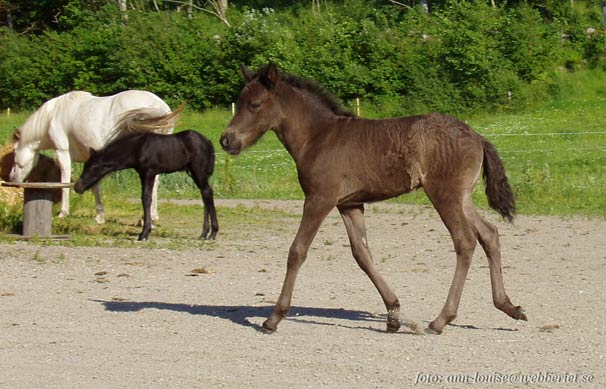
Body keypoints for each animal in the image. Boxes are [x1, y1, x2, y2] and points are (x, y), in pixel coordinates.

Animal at [9, 88, 182, 221]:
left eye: (15, 152)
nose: (11, 178)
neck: (53, 115)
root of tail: (159, 107)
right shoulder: (91, 159)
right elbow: (93, 185)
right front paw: (99, 216)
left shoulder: (62, 153)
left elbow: (64, 181)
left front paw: (63, 213)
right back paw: (151, 217)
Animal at [74, 130, 218, 239]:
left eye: (92, 167)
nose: (77, 187)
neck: (137, 148)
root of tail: (208, 141)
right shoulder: (143, 173)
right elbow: (145, 198)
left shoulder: (149, 172)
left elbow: (146, 198)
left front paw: (144, 234)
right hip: (195, 172)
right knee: (205, 194)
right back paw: (204, 233)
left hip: (198, 171)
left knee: (207, 192)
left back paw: (213, 233)